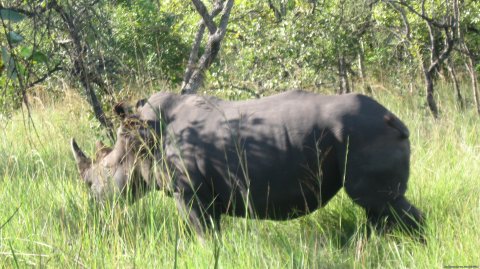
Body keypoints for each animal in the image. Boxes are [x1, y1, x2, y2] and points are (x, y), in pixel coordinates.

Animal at [70, 89, 424, 234]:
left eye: (98, 176)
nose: (94, 204)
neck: (141, 139)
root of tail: (394, 119)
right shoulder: (204, 194)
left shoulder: (189, 193)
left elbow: (204, 234)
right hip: (359, 133)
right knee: (378, 208)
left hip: (363, 132)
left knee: (378, 201)